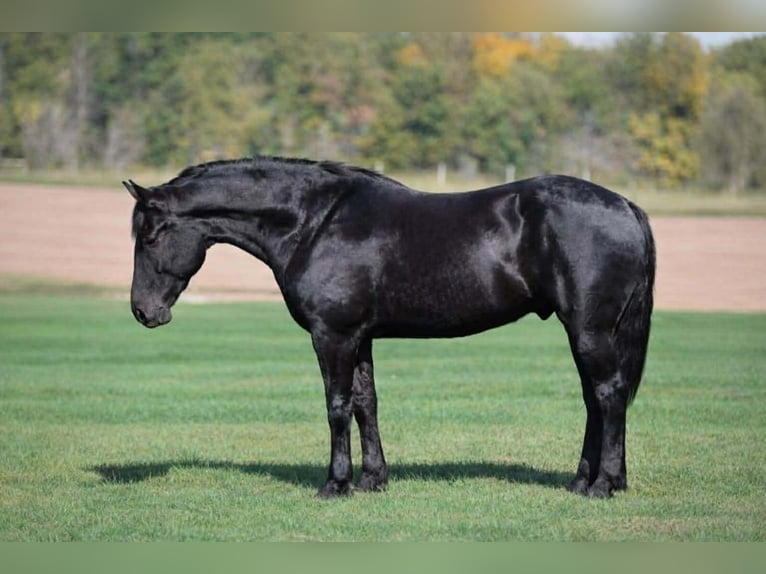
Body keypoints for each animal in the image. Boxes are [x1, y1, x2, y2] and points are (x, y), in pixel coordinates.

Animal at [124, 156, 655, 499]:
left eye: (149, 235)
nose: (143, 312)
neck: (313, 222)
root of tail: (626, 206)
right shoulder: (359, 337)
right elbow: (366, 403)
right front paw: (373, 479)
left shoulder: (333, 335)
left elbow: (337, 407)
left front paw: (336, 484)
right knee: (595, 400)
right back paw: (584, 480)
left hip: (589, 330)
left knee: (608, 395)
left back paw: (603, 484)